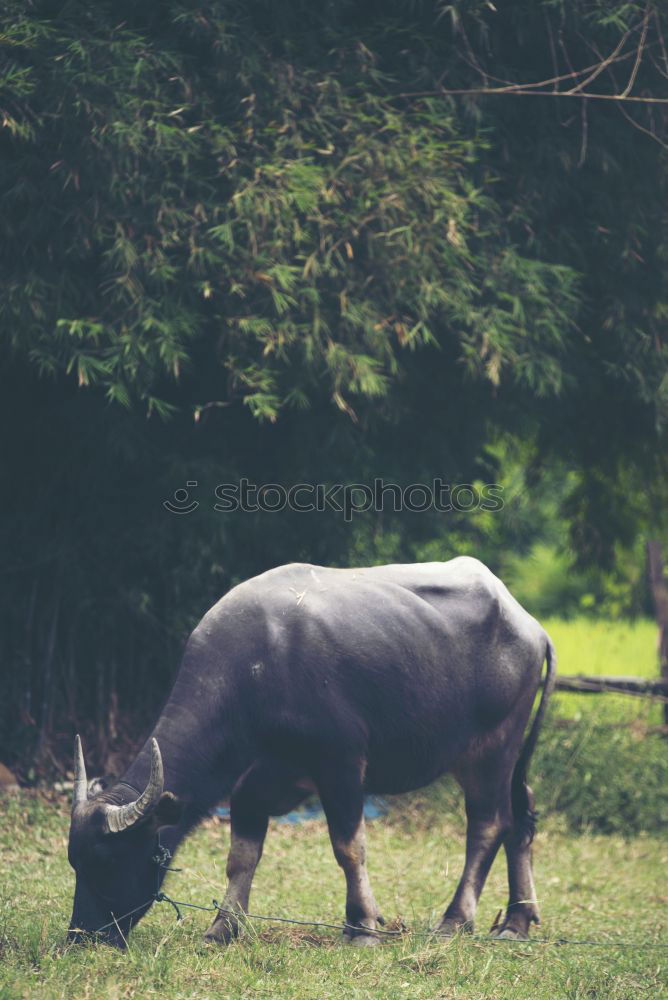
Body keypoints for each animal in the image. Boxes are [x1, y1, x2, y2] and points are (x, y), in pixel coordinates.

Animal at [68, 560, 556, 948]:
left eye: (107, 862)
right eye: (74, 862)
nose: (81, 936)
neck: (260, 669)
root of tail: (530, 626)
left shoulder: (342, 766)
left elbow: (349, 848)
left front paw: (362, 926)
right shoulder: (255, 781)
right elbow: (241, 855)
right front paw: (222, 927)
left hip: (493, 746)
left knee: (488, 824)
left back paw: (456, 920)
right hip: (494, 756)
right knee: (521, 816)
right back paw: (516, 920)